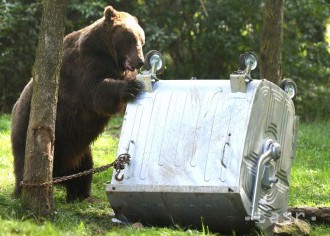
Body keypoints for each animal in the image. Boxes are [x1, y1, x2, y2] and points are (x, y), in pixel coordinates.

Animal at [10, 5, 145, 201]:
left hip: (76, 148)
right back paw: (20, 193)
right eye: (131, 38)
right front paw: (130, 87)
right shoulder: (82, 69)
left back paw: (81, 195)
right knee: (23, 165)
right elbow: (97, 91)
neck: (107, 54)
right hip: (27, 133)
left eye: (142, 40)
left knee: (84, 168)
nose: (140, 61)